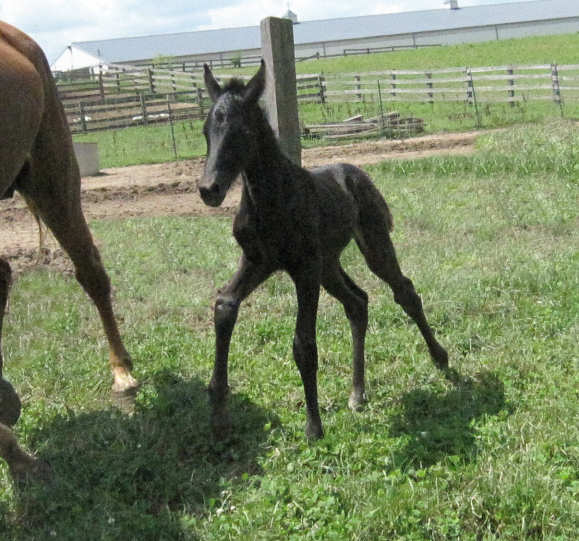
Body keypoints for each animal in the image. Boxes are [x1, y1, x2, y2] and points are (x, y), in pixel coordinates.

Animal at [198, 61, 449, 440]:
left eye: (243, 132)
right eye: (206, 131)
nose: (209, 189)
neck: (271, 201)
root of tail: (356, 171)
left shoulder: (304, 269)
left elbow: (304, 343)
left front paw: (313, 426)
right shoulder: (258, 261)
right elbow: (225, 305)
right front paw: (218, 410)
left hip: (370, 244)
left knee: (404, 291)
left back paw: (441, 358)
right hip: (329, 264)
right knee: (357, 302)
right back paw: (357, 393)